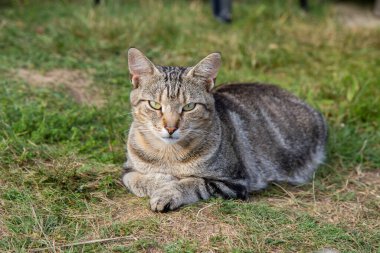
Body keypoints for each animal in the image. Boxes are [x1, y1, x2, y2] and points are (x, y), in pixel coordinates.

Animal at [121, 47, 326, 211]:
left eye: (189, 107)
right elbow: (138, 179)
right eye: (155, 105)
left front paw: (168, 192)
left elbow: (193, 182)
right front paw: (163, 181)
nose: (171, 128)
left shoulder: (234, 181)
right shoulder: (128, 169)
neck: (168, 155)